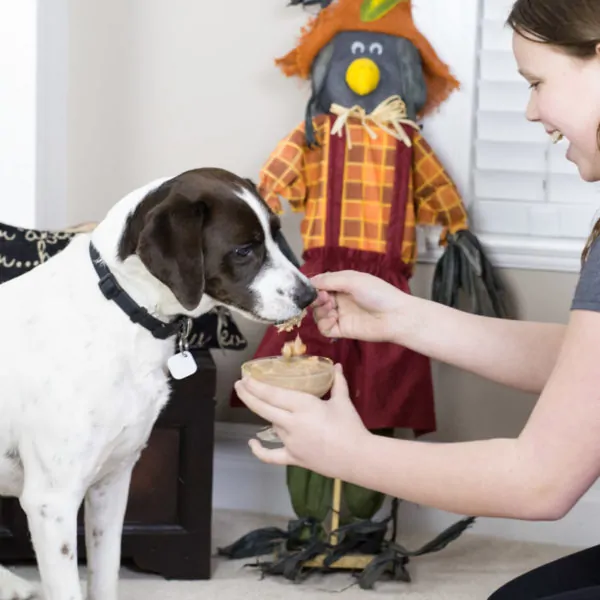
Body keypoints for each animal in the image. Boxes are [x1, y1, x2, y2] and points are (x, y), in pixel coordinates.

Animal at [0, 168, 318, 600]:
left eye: (275, 235)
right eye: (243, 250)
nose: (310, 295)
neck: (122, 309)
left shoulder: (112, 481)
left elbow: (105, 577)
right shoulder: (52, 502)